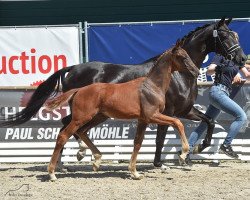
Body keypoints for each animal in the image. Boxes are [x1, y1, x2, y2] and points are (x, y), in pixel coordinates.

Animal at [45, 44, 197, 181]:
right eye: (183, 57)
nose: (196, 71)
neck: (152, 86)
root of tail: (79, 90)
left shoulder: (143, 120)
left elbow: (138, 143)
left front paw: (134, 172)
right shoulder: (153, 115)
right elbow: (177, 123)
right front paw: (183, 154)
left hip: (98, 117)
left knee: (81, 131)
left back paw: (96, 160)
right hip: (81, 118)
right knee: (64, 135)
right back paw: (53, 173)